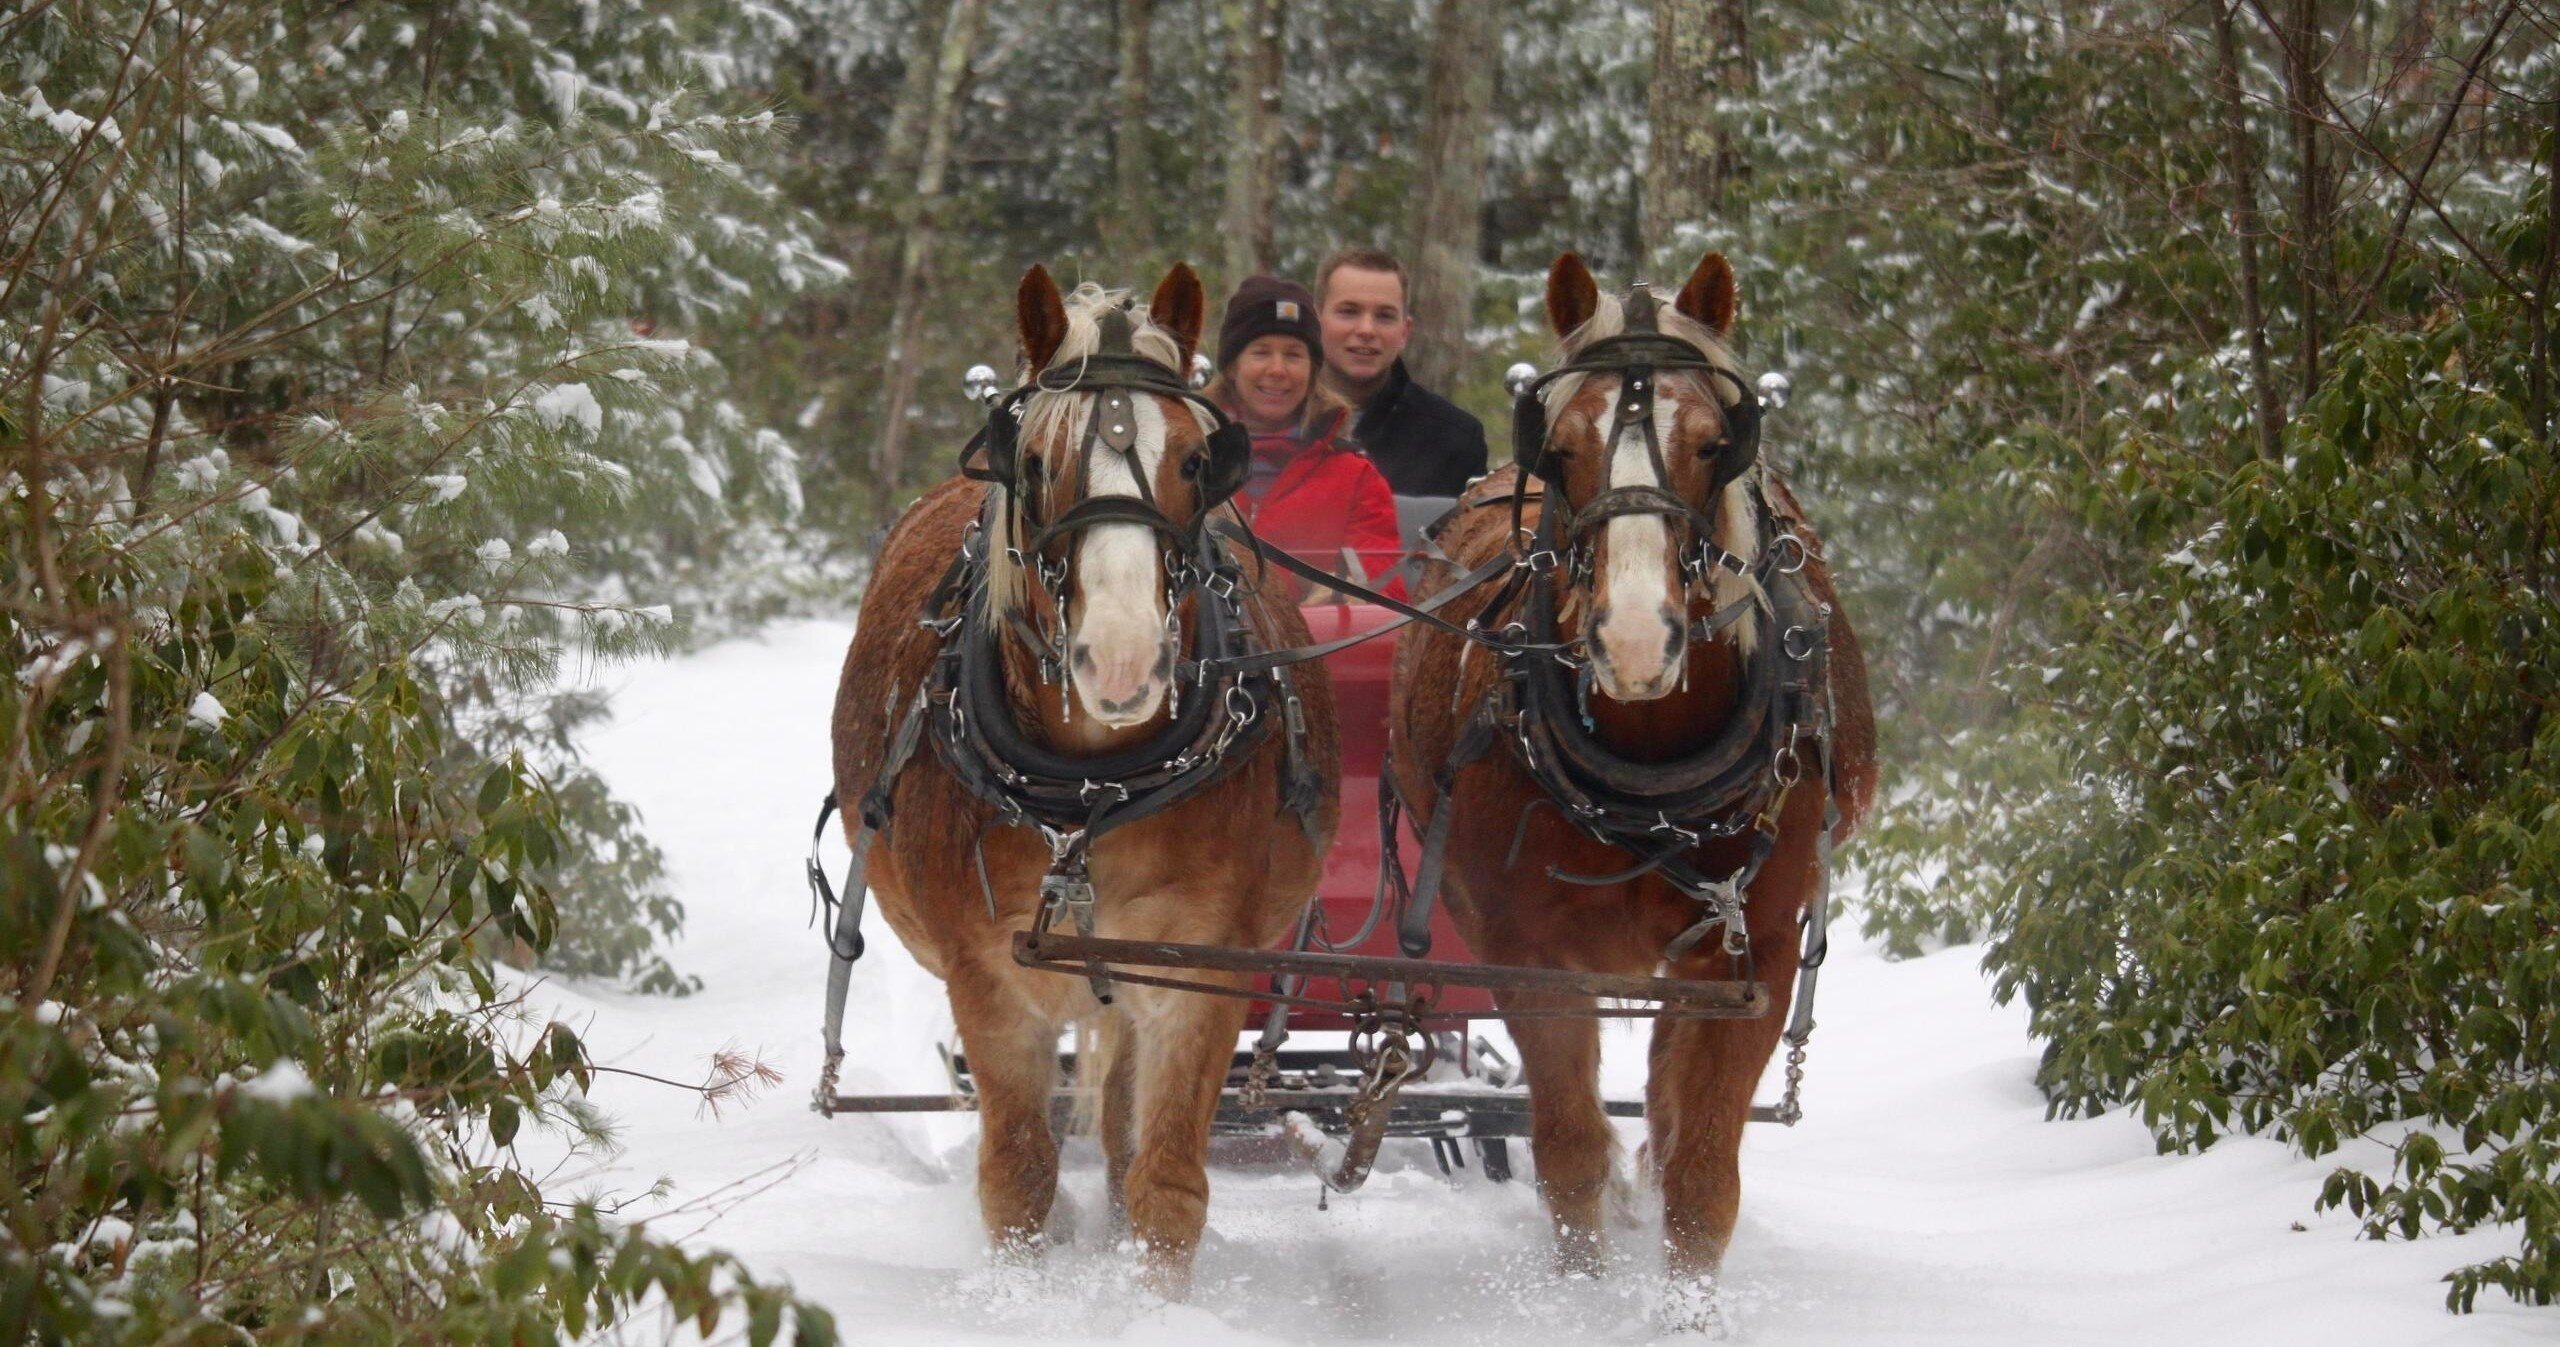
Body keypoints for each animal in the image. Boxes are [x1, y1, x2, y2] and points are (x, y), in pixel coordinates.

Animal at [829, 263, 1339, 1297]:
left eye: (1197, 459)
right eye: (1032, 462)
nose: (1123, 658)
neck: (1091, 795)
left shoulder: (1195, 970)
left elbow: (1167, 1181)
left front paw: (1152, 1300)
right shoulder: (989, 976)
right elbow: (1019, 1171)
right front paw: (1027, 1295)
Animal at [1388, 251, 1878, 1312]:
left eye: (1712, 444)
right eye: (1562, 445)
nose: (1637, 640)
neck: (1652, 773)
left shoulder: (1753, 955)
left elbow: (1701, 1172)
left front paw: (1686, 1312)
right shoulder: (1527, 956)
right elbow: (1569, 1149)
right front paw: (1579, 1302)